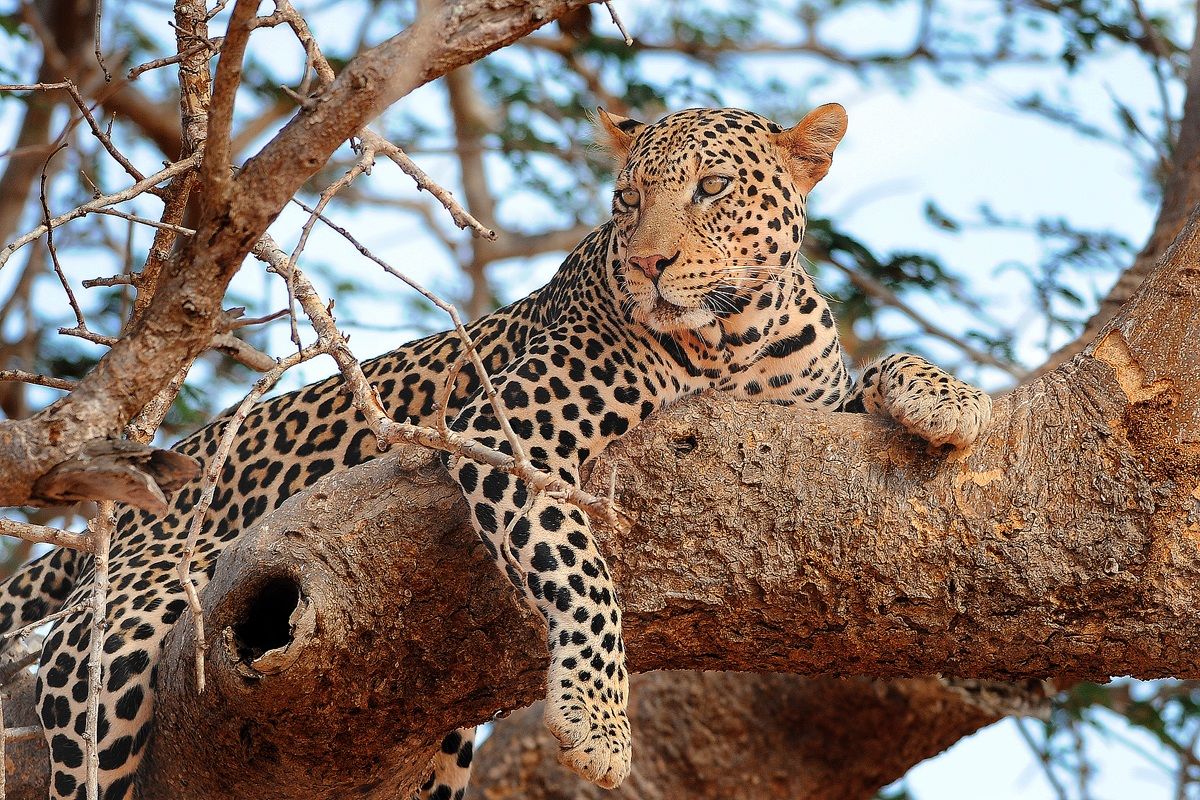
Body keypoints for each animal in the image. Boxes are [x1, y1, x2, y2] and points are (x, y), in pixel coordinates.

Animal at [0, 103, 992, 800]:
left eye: (711, 189)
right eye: (628, 202)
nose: (651, 265)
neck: (740, 337)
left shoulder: (808, 408)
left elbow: (882, 372)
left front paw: (950, 398)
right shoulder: (508, 429)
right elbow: (583, 574)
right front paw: (597, 721)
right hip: (129, 623)